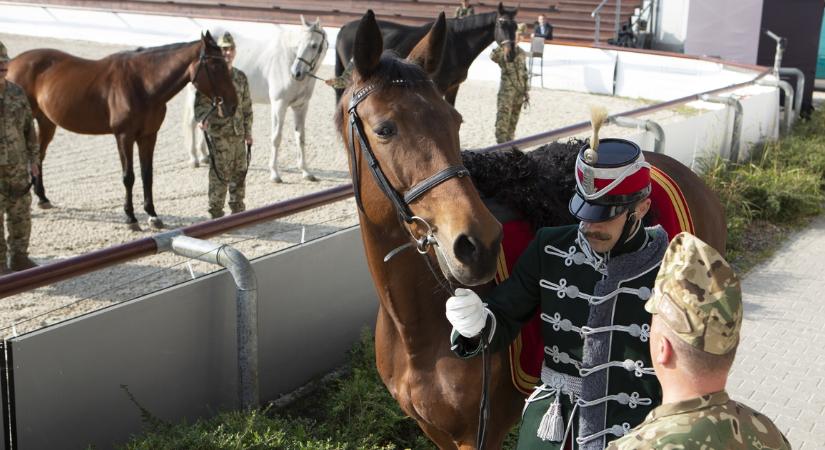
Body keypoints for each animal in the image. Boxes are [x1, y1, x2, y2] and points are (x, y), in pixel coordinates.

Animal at [9, 32, 237, 230]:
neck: (142, 84)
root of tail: (13, 63)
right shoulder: (124, 137)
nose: (232, 104)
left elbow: (147, 175)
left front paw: (152, 215)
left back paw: (42, 198)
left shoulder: (148, 136)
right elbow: (129, 177)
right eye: (216, 65)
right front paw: (131, 218)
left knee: (38, 156)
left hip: (47, 122)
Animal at [183, 15, 328, 182]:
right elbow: (276, 138)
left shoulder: (301, 106)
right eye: (298, 44)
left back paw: (204, 156)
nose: (296, 73)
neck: (286, 60)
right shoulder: (279, 105)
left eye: (314, 45)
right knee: (192, 123)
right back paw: (194, 159)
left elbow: (301, 138)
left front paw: (306, 172)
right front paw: (274, 174)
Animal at [334, 1, 516, 105]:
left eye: (515, 26)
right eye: (501, 24)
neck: (456, 43)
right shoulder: (439, 87)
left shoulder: (453, 88)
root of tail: (344, 27)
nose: (511, 55)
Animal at [342, 10, 728, 450]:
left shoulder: (481, 435)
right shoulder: (435, 433)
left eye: (455, 121)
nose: (478, 243)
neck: (418, 333)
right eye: (385, 129)